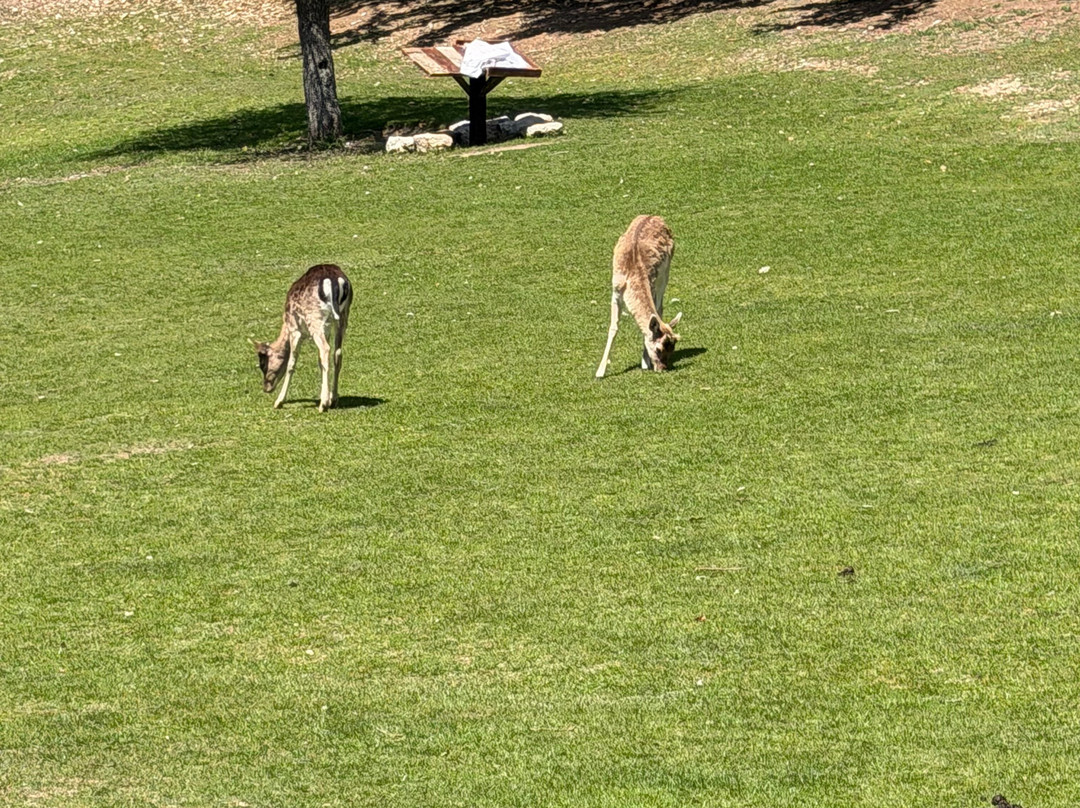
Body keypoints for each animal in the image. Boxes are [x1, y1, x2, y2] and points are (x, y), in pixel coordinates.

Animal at [254, 264, 352, 412]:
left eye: (263, 364)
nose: (266, 388)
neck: (285, 323)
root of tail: (335, 281)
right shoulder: (327, 329)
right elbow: (319, 361)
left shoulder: (295, 329)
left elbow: (291, 363)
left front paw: (279, 401)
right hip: (343, 315)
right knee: (337, 353)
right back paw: (333, 399)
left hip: (315, 318)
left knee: (325, 349)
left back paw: (323, 404)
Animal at [596, 215, 682, 378]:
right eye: (659, 349)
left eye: (673, 348)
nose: (662, 368)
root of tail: (654, 216)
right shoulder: (615, 292)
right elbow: (613, 327)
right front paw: (600, 372)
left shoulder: (652, 288)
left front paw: (644, 363)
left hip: (665, 274)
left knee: (660, 308)